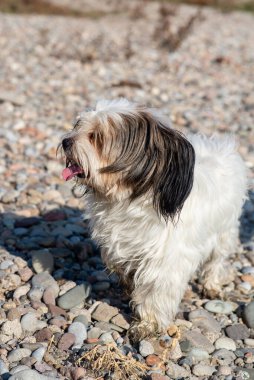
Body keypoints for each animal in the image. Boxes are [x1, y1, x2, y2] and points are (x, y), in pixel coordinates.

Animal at [59, 98, 246, 338]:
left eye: (97, 137)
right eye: (78, 125)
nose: (65, 141)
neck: (127, 201)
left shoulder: (164, 263)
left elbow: (154, 294)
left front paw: (147, 325)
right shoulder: (118, 246)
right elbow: (122, 267)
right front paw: (129, 287)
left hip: (224, 232)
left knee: (216, 261)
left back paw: (211, 285)